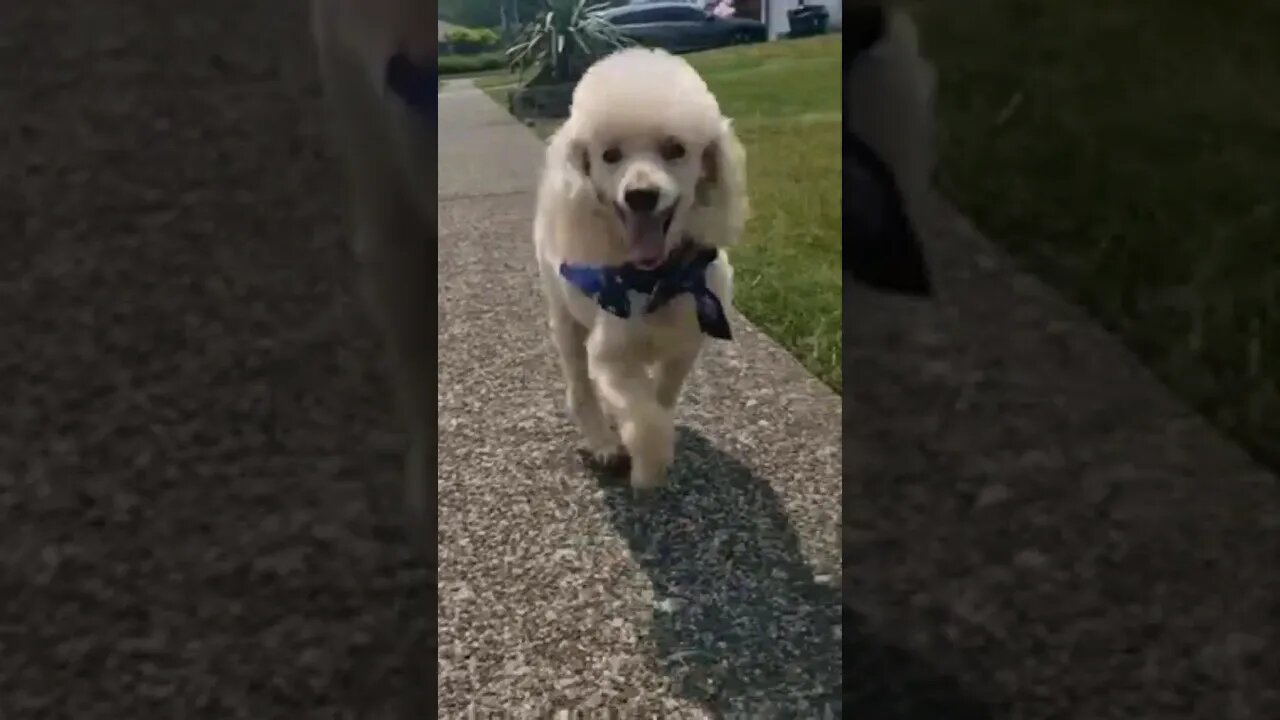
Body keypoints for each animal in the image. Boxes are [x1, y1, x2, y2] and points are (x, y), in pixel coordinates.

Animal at [532, 49, 747, 486]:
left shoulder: (685, 345)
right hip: (564, 319)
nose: (641, 195)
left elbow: (661, 398)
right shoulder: (610, 356)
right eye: (610, 155)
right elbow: (644, 417)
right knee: (579, 387)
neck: (658, 278)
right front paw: (648, 466)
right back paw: (603, 442)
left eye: (675, 148)